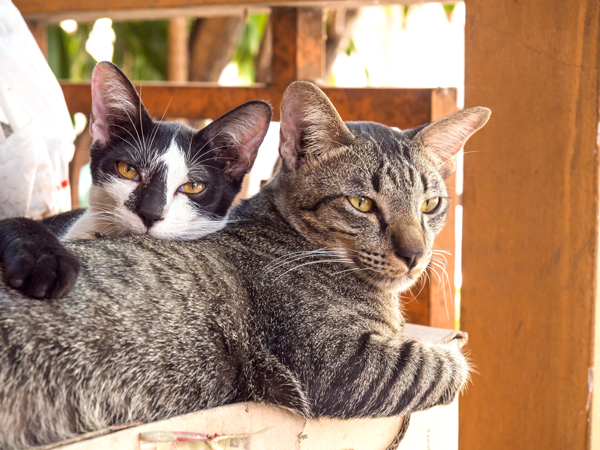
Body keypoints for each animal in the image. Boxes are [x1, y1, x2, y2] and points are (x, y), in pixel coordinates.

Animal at [0, 81, 490, 450]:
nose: (415, 255)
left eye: (430, 205)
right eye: (362, 204)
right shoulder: (338, 365)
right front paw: (452, 355)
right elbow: (445, 365)